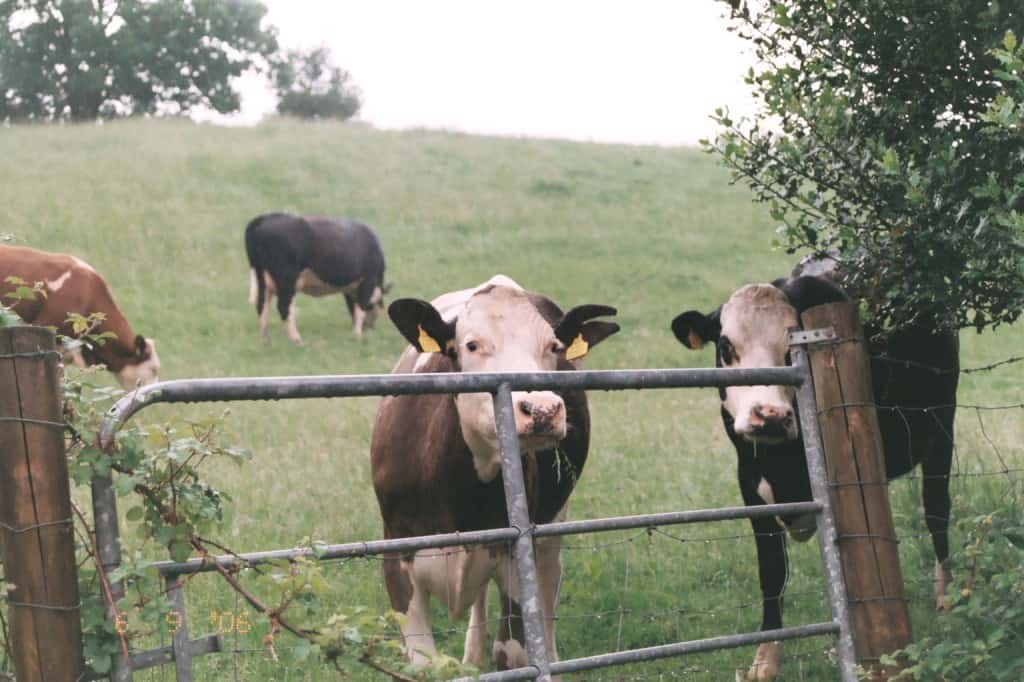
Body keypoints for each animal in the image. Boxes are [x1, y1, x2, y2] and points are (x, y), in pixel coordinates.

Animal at [244, 210, 391, 342]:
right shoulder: (368, 281)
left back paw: (266, 339)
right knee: (283, 307)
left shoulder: (350, 288)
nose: (370, 327)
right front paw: (357, 335)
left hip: (261, 277)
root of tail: (265, 218)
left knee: (262, 305)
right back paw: (296, 339)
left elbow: (353, 309)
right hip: (286, 279)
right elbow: (360, 309)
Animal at [372, 274, 618, 667]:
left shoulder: (519, 554)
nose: (542, 409)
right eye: (471, 345)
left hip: (552, 526)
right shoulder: (397, 554)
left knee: (549, 589)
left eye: (554, 347)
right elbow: (424, 663)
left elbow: (513, 651)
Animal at [667, 259, 954, 675]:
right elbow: (773, 573)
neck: (784, 465)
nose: (768, 415)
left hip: (941, 430)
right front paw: (765, 661)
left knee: (937, 512)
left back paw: (947, 596)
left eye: (791, 347)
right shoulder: (750, 488)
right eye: (725, 346)